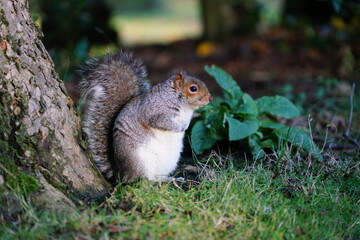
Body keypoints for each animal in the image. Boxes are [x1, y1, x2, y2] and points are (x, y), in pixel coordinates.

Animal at [78, 49, 211, 183]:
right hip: (139, 161)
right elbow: (162, 122)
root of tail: (121, 173)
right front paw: (179, 127)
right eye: (193, 88)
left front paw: (186, 125)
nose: (210, 98)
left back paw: (171, 179)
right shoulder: (153, 111)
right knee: (142, 179)